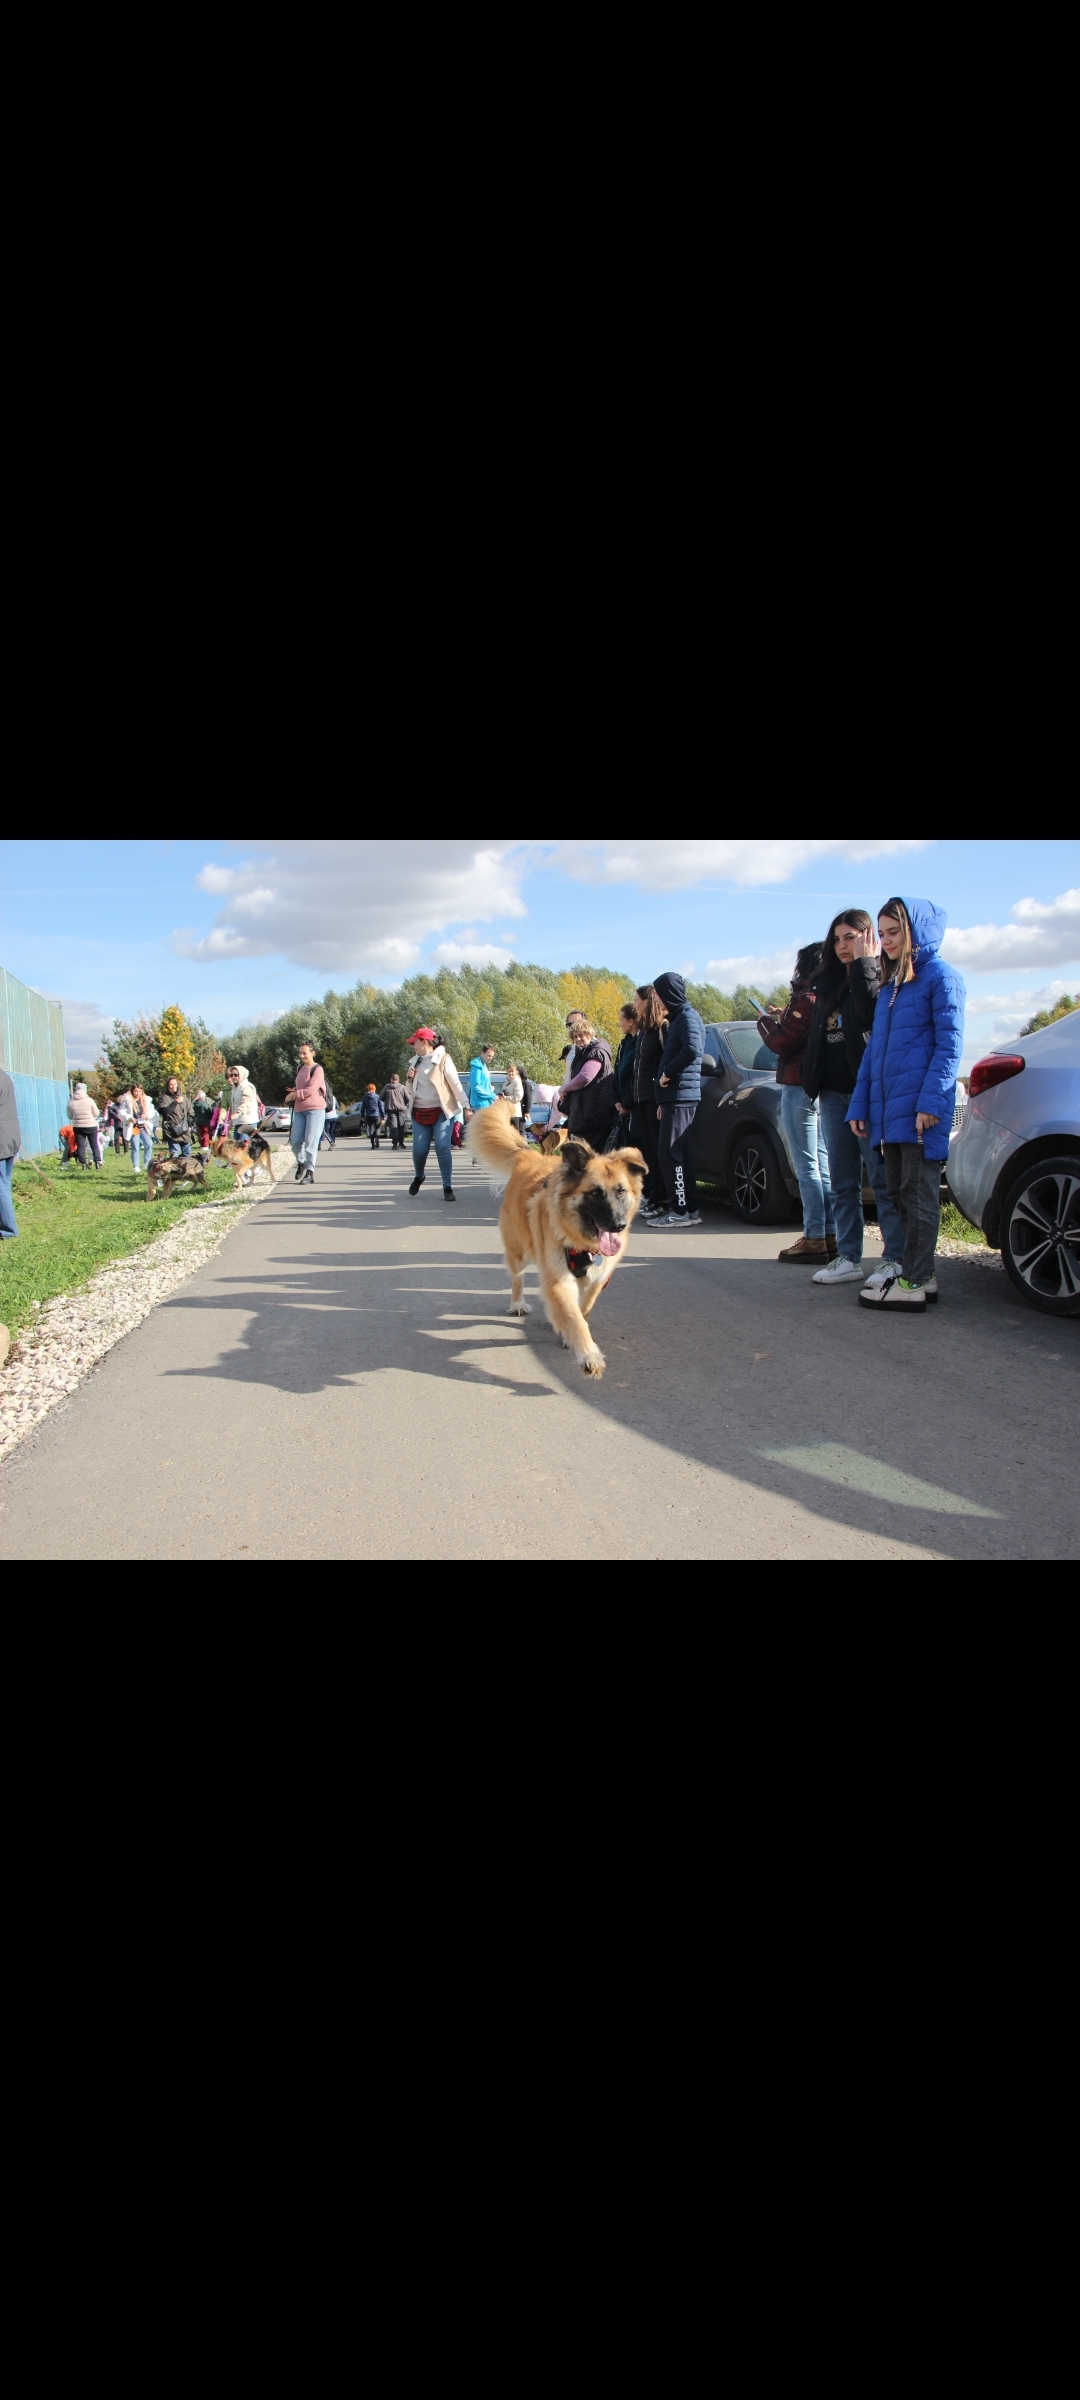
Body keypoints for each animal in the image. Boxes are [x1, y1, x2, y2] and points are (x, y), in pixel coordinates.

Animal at [468, 1099, 643, 1382]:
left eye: (621, 1191)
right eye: (595, 1193)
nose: (619, 1225)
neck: (584, 1245)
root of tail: (530, 1157)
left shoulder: (597, 1280)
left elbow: (583, 1310)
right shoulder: (558, 1280)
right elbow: (574, 1318)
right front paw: (588, 1354)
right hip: (519, 1252)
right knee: (517, 1278)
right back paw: (517, 1303)